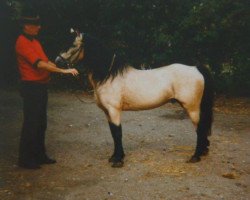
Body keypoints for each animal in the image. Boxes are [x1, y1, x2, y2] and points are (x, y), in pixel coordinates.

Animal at [55, 29, 214, 167]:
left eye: (73, 45)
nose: (57, 62)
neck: (109, 76)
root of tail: (196, 68)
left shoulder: (114, 110)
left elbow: (118, 133)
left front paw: (118, 160)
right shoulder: (107, 112)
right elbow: (113, 133)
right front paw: (114, 156)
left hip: (192, 108)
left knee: (200, 128)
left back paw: (195, 156)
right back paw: (202, 152)